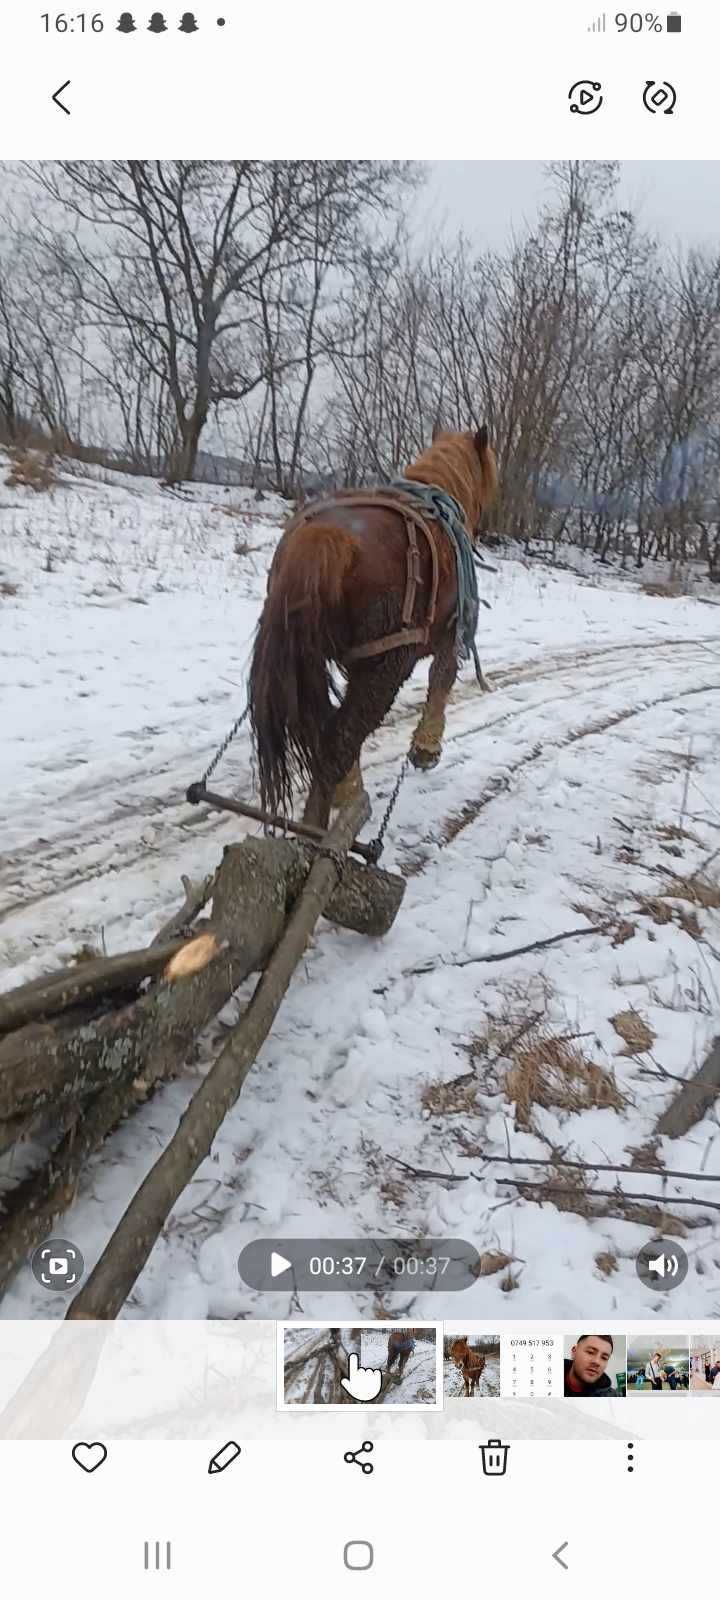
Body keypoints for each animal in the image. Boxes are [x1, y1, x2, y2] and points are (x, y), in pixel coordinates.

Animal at [248, 428, 496, 825]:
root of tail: (326, 539)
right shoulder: (451, 634)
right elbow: (440, 683)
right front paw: (426, 748)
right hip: (386, 665)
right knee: (338, 741)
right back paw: (318, 826)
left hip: (311, 662)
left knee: (325, 731)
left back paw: (345, 794)